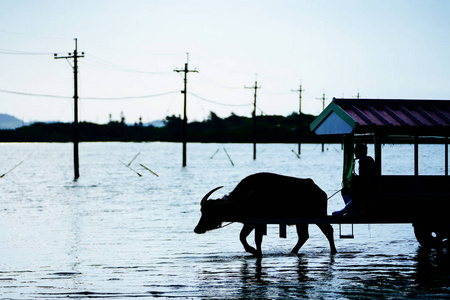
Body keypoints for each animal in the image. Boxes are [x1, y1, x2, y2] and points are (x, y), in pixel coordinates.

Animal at [194, 172, 338, 256]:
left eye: (212, 212)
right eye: (202, 211)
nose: (197, 229)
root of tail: (320, 192)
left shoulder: (256, 223)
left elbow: (250, 238)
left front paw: (255, 251)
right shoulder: (250, 223)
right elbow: (244, 237)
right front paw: (255, 251)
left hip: (318, 216)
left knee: (328, 231)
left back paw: (333, 251)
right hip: (302, 221)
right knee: (303, 236)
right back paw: (292, 252)